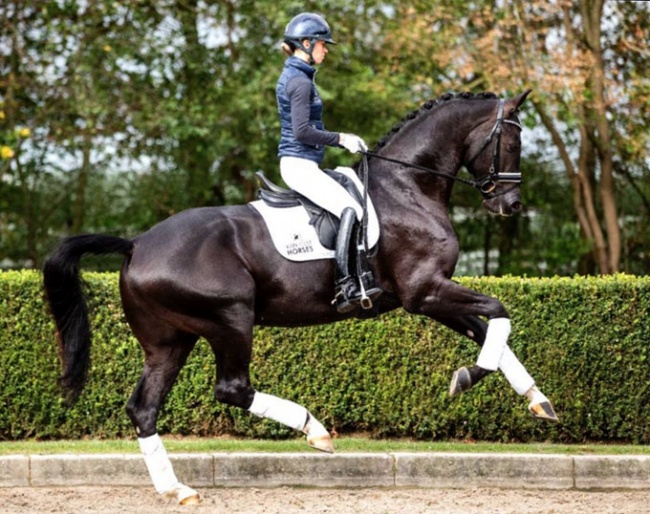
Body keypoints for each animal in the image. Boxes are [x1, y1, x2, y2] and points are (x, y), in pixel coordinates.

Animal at [43, 90, 556, 502]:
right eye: (513, 141)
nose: (510, 205)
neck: (409, 187)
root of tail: (136, 245)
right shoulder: (425, 291)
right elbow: (498, 314)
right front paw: (468, 377)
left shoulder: (429, 295)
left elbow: (490, 332)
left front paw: (538, 400)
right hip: (231, 320)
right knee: (232, 388)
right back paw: (316, 430)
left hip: (170, 342)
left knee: (144, 409)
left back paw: (177, 489)